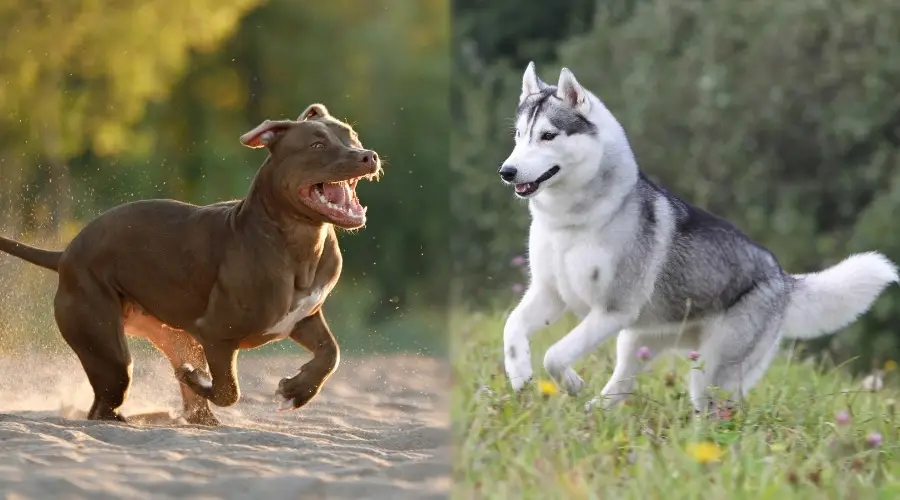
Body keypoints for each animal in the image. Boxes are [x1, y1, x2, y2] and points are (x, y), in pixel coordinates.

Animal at [0, 104, 380, 426]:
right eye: (317, 144)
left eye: (352, 137)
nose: (368, 155)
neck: (300, 243)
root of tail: (65, 254)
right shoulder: (217, 334)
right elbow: (228, 390)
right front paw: (198, 379)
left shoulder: (304, 318)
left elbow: (331, 353)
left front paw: (298, 391)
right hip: (106, 345)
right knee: (105, 403)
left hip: (176, 337)